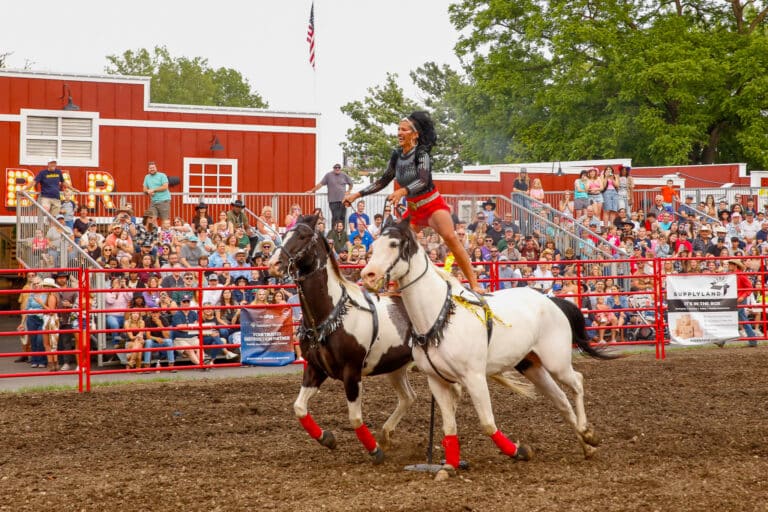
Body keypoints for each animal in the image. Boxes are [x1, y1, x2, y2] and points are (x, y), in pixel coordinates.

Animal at [268, 214, 414, 462]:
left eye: (302, 236)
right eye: (285, 233)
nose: (274, 264)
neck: (329, 316)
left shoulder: (351, 372)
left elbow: (355, 418)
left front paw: (375, 451)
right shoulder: (315, 368)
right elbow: (299, 408)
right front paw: (327, 438)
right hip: (396, 368)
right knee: (407, 398)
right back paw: (386, 433)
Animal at [360, 218, 616, 474]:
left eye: (393, 244)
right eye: (373, 244)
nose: (368, 275)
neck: (440, 316)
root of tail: (551, 301)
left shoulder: (474, 377)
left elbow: (487, 423)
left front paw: (518, 451)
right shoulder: (436, 381)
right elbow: (449, 427)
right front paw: (449, 466)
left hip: (557, 363)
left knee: (577, 382)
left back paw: (588, 433)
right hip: (532, 366)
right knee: (561, 401)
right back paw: (586, 446)